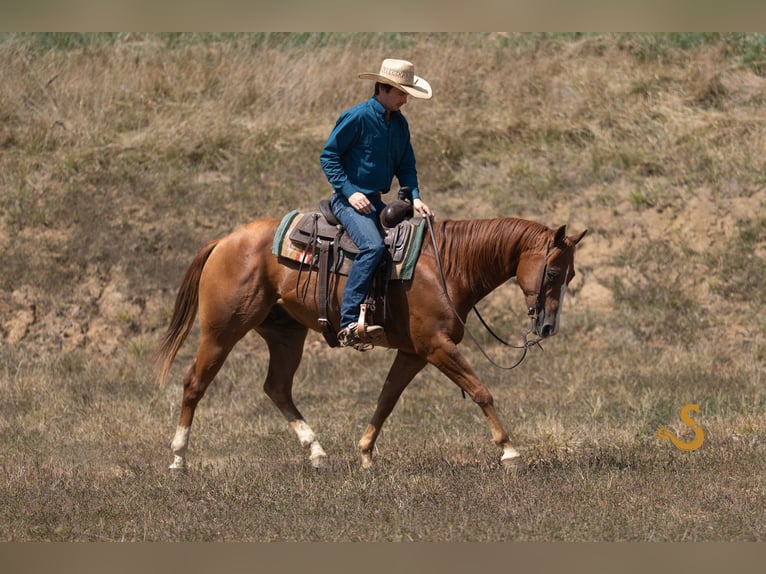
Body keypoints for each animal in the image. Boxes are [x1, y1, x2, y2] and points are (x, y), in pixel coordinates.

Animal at [154, 214, 586, 471]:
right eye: (551, 272)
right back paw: (178, 458)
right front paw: (509, 450)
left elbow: (386, 400)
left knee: (276, 387)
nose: (548, 326)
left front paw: (364, 453)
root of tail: (225, 241)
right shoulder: (436, 346)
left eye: (569, 276)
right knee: (194, 383)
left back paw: (317, 452)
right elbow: (481, 391)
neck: (445, 266)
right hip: (222, 330)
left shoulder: (413, 353)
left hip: (285, 334)